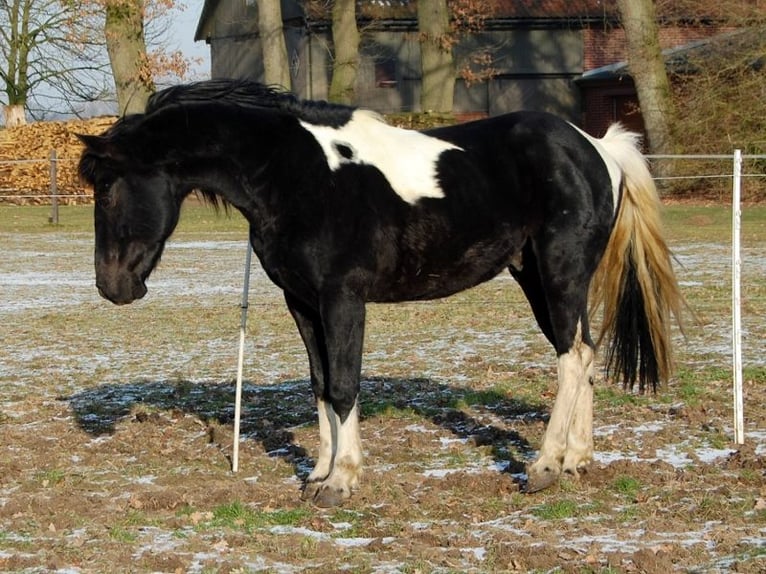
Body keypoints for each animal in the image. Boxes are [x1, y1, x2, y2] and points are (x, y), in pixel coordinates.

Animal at [81, 80, 688, 508]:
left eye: (108, 189)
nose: (113, 287)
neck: (294, 173)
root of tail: (597, 147)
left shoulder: (342, 299)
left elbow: (345, 385)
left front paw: (341, 483)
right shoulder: (302, 303)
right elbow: (321, 383)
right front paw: (318, 475)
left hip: (559, 273)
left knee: (573, 356)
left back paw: (544, 468)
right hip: (541, 277)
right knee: (583, 353)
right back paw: (577, 460)